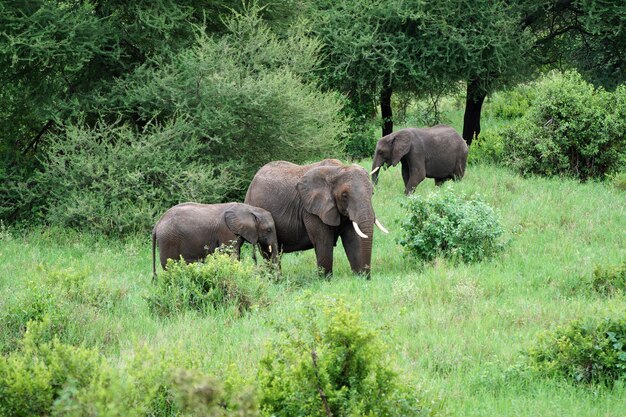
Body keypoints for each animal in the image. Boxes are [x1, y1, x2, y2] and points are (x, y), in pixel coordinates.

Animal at [243, 158, 386, 278]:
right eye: (344, 195)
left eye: (372, 193)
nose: (367, 276)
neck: (338, 169)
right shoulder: (311, 210)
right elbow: (323, 241)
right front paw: (326, 280)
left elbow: (353, 239)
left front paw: (360, 278)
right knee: (268, 251)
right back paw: (275, 280)